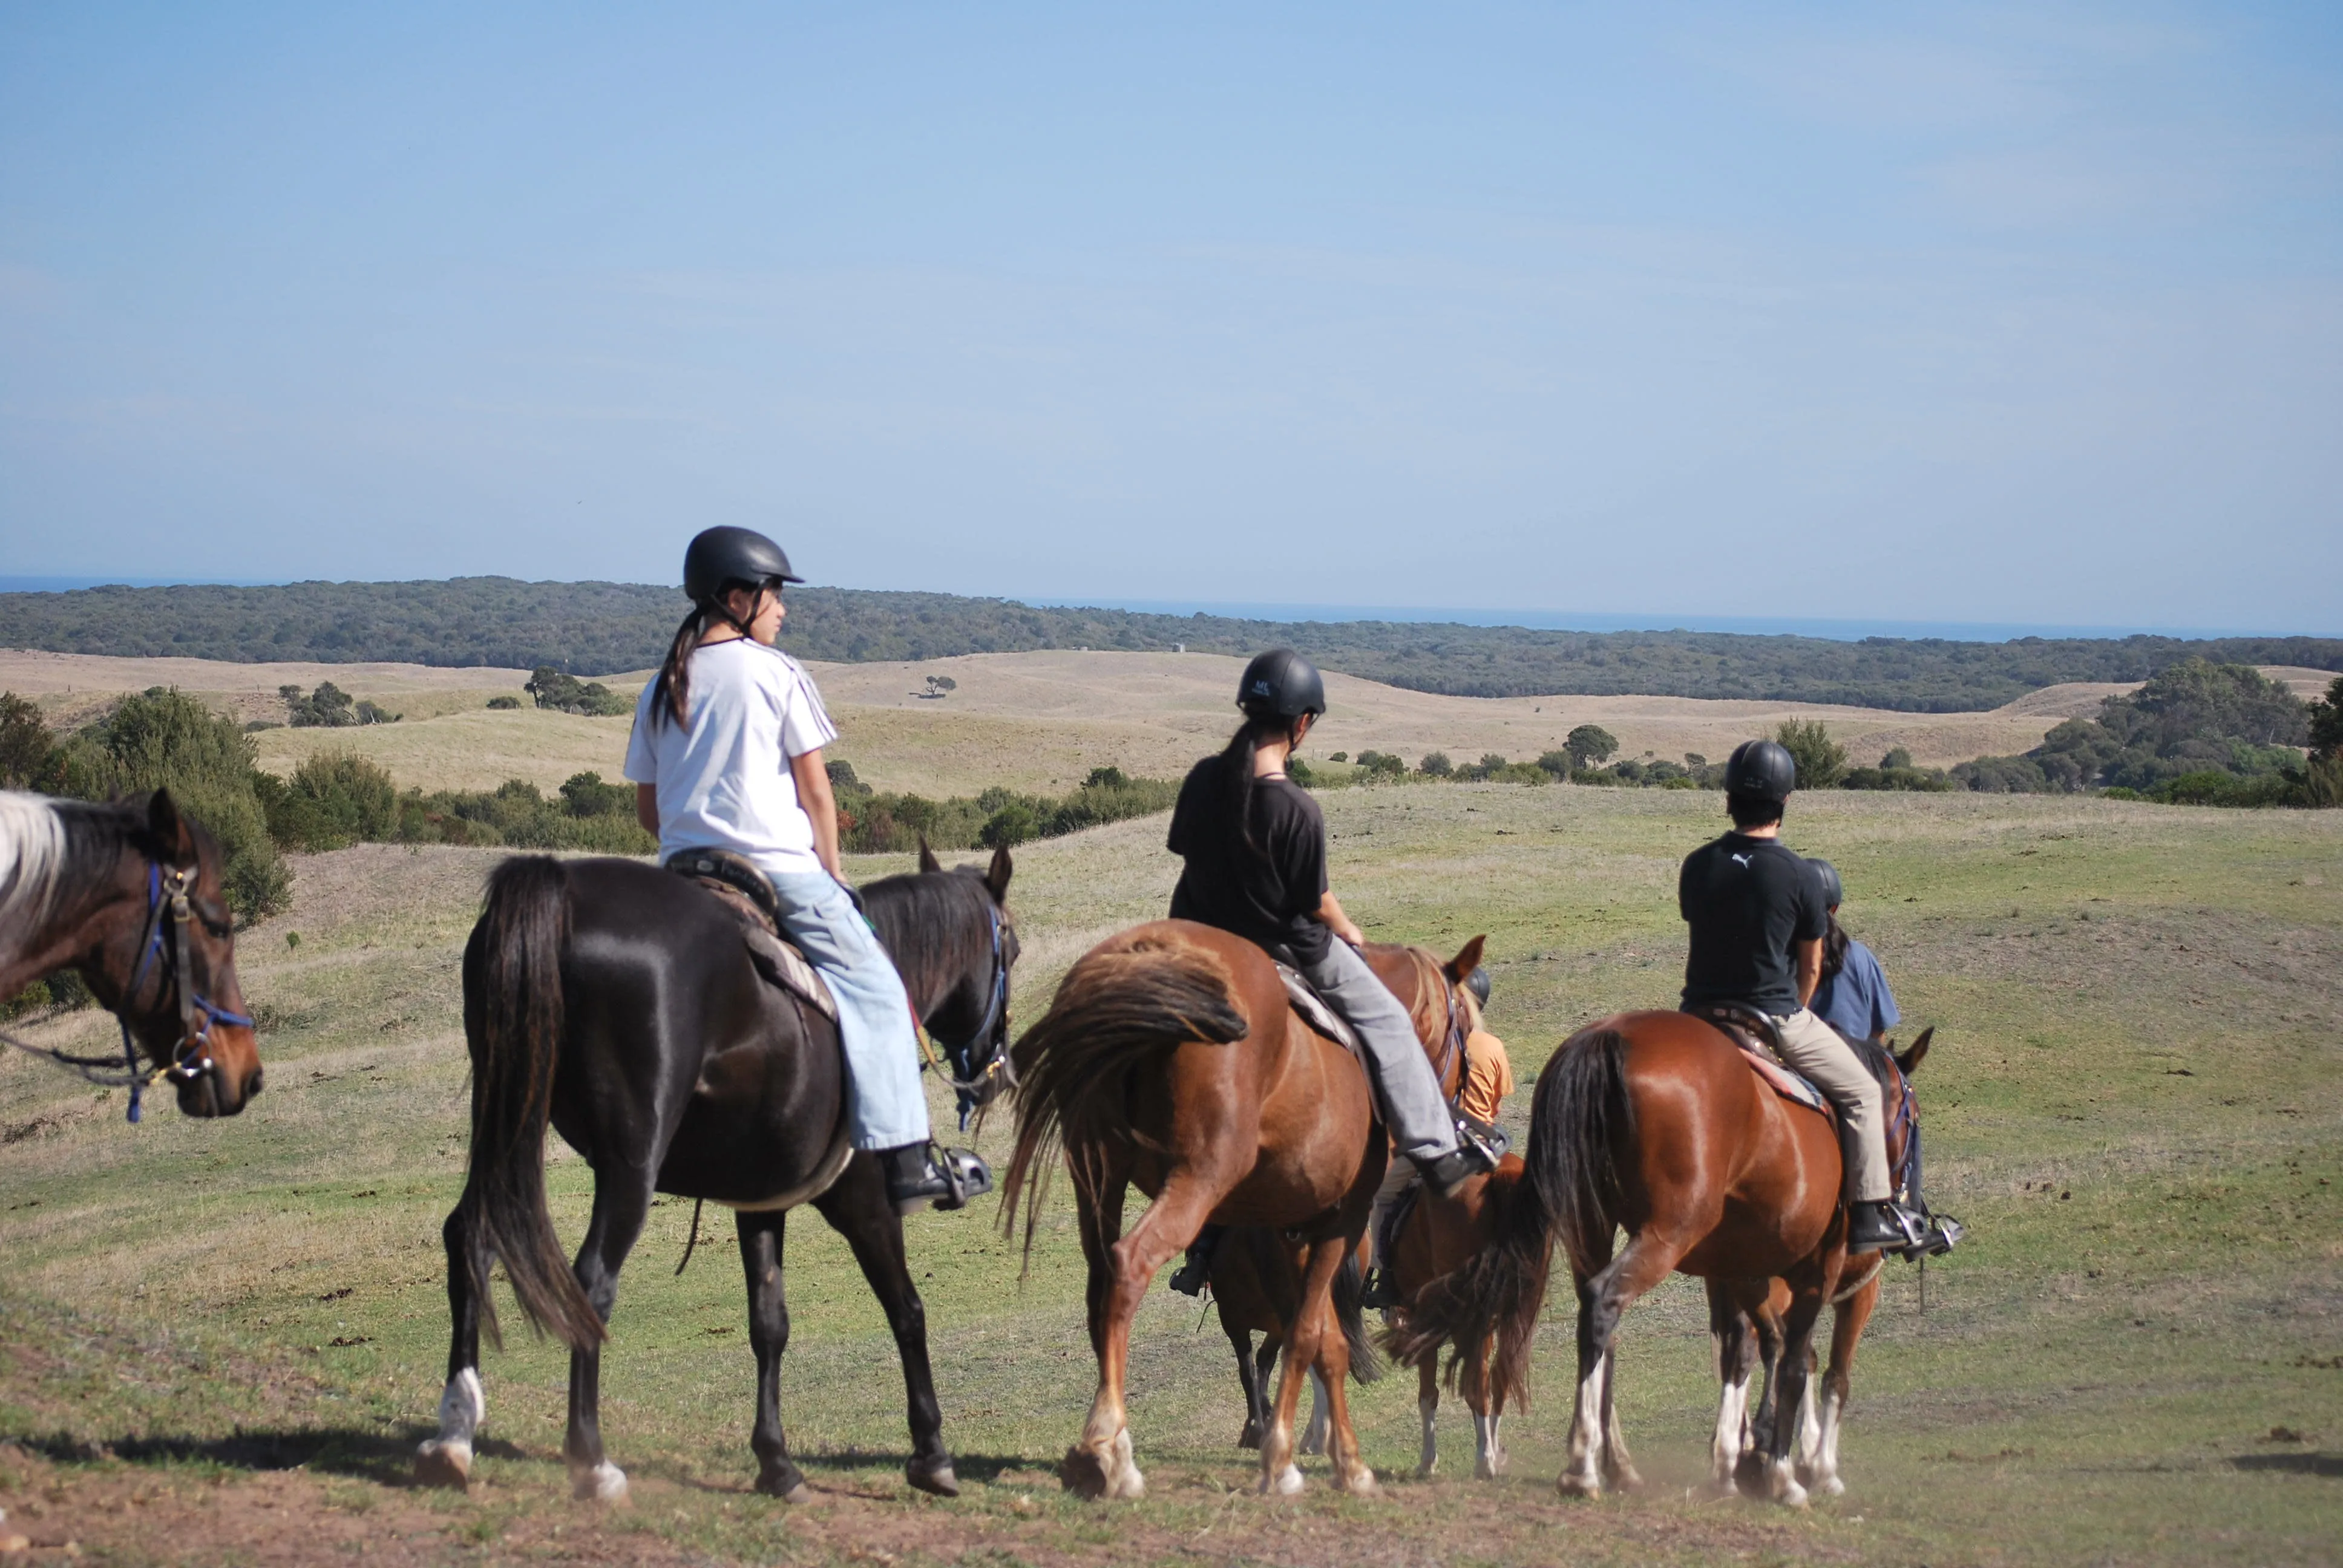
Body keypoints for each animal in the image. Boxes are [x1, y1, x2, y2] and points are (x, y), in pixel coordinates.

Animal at [414, 844, 1017, 1504]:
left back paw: (454, 1434)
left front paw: (777, 1463)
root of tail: (563, 889)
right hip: (629, 1164)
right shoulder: (865, 1204)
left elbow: (769, 1324)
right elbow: (906, 1309)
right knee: (591, 1280)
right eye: (1010, 951)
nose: (997, 1071)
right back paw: (590, 1459)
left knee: (472, 1235)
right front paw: (931, 1453)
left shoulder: (761, 1202)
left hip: (506, 1115)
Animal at [1002, 924, 1482, 1499]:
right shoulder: (1338, 1222)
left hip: (1098, 1176)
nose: (1463, 1109)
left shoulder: (1294, 1232)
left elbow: (1322, 1342)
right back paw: (1110, 1454)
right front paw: (1289, 1461)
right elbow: (1307, 1336)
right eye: (1466, 1026)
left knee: (1101, 1284)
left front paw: (1339, 1460)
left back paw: (1098, 1447)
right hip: (1198, 1175)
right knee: (1130, 1265)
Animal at [1392, 1012, 1930, 1506]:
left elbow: (1761, 1349)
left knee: (1601, 1326)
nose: (1910, 1211)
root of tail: (1607, 1037)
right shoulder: (1823, 1270)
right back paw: (1585, 1465)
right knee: (1607, 1302)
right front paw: (1790, 1472)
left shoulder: (1746, 1271)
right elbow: (1807, 1364)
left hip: (1594, 1228)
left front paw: (1749, 1458)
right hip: (1668, 1233)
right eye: (1913, 1115)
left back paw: (1616, 1464)